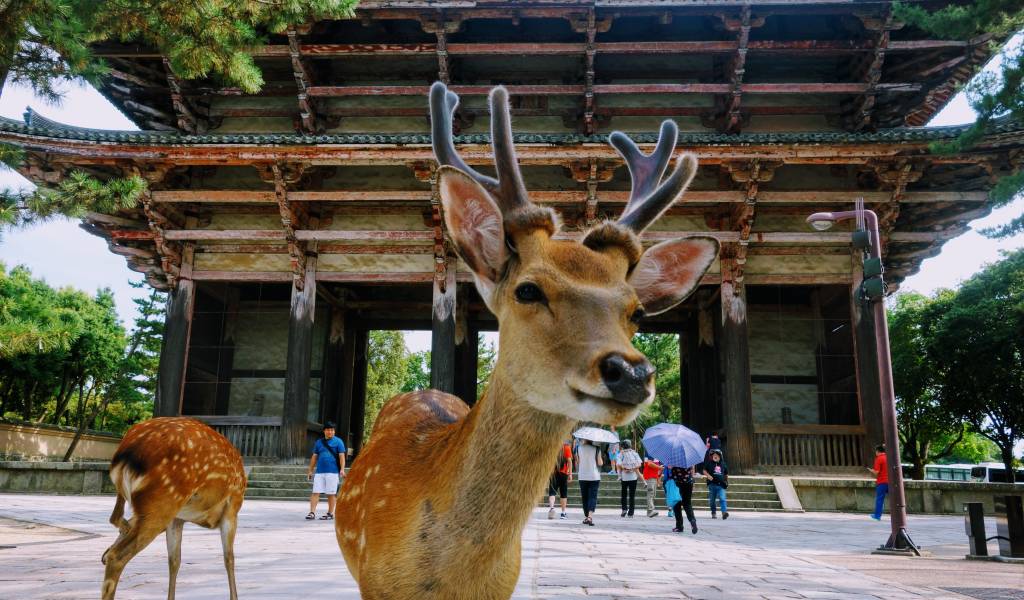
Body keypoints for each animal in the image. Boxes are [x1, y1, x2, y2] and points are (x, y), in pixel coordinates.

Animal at [101, 416, 247, 600]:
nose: (102, 557)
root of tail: (126, 453)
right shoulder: (232, 508)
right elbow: (229, 559)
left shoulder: (178, 518)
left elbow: (174, 561)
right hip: (163, 501)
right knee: (117, 556)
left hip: (148, 502)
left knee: (115, 518)